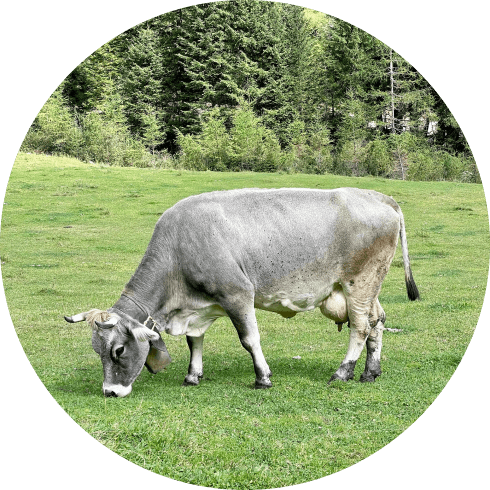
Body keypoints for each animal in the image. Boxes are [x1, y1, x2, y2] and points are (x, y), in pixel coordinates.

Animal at [64, 186, 418, 396]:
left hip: (359, 282)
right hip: (367, 287)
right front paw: (193, 375)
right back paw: (371, 371)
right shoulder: (199, 307)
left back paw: (343, 372)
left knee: (360, 327)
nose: (109, 391)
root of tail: (378, 196)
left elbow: (250, 340)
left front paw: (263, 377)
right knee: (377, 321)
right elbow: (195, 341)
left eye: (118, 350)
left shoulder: (237, 294)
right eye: (97, 350)